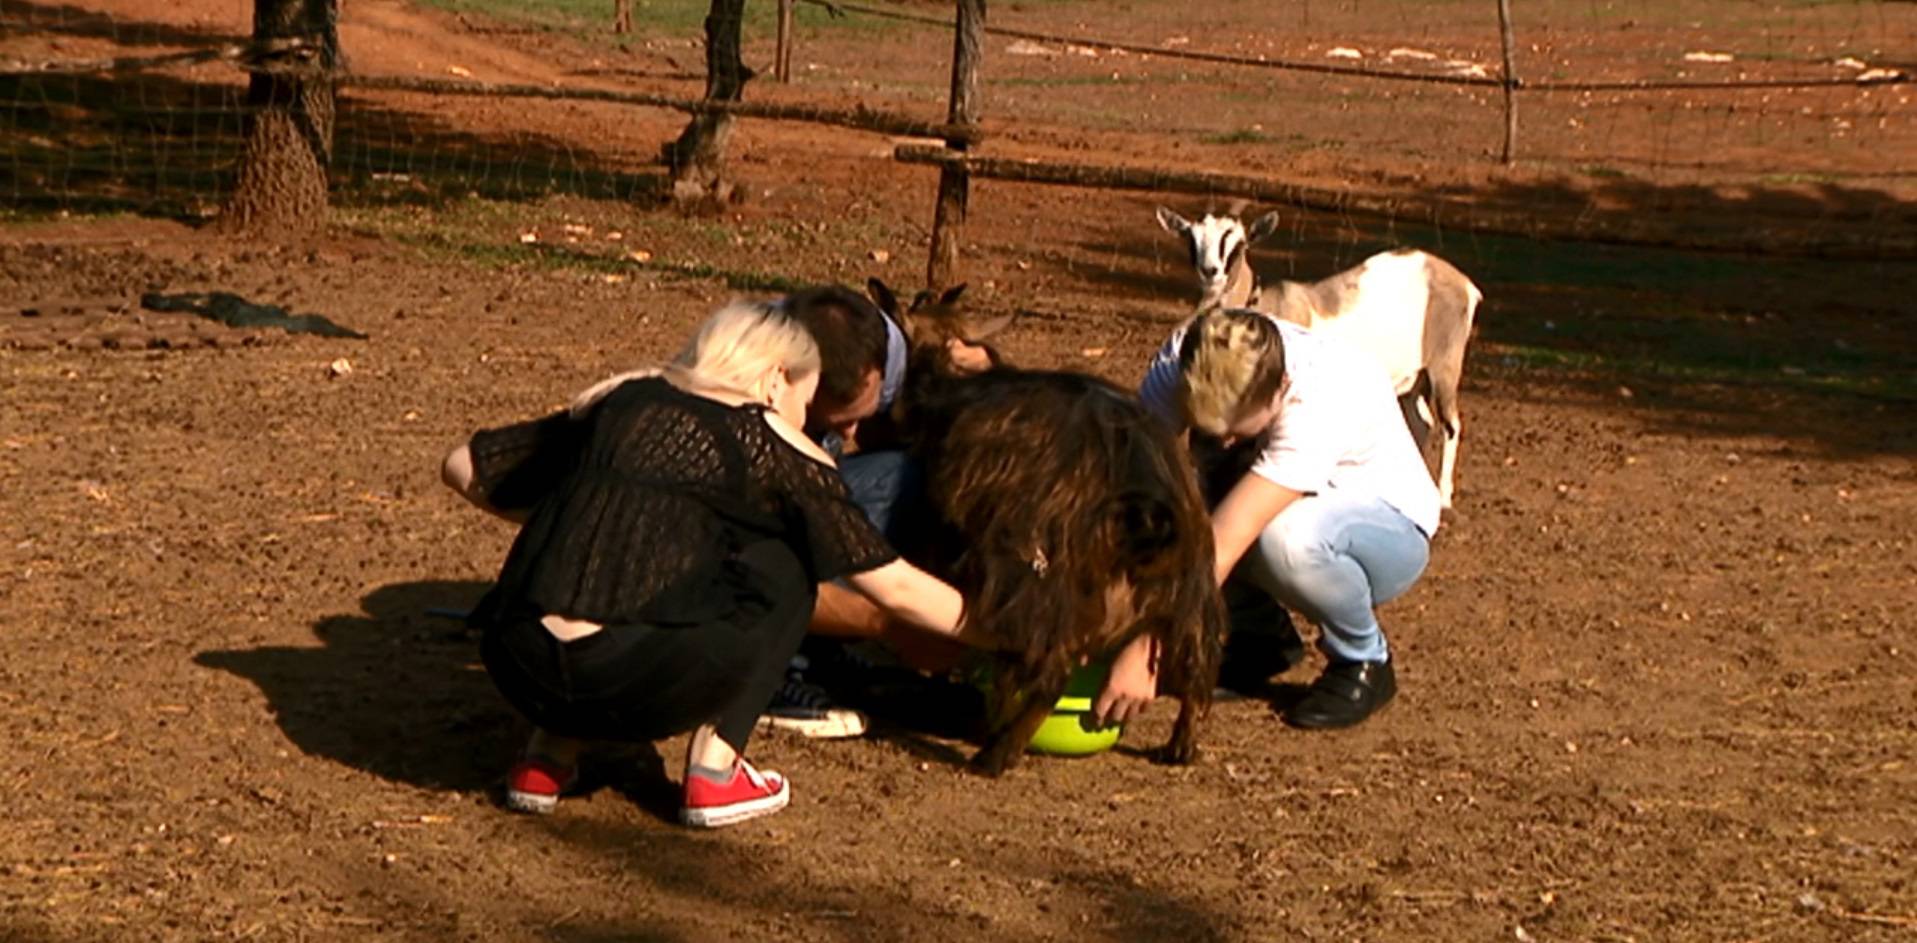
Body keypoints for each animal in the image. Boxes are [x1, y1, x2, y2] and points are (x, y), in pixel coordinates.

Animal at [870, 277, 1226, 774]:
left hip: (1038, 587)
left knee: (1049, 672)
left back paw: (995, 752)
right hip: (1193, 597)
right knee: (1197, 673)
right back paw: (1179, 747)